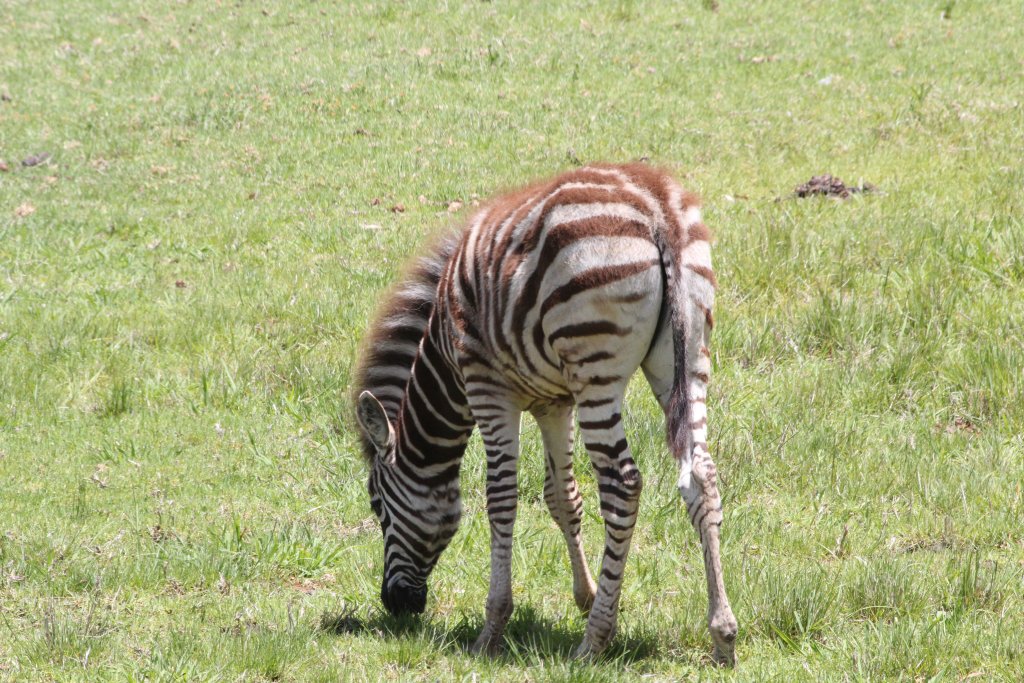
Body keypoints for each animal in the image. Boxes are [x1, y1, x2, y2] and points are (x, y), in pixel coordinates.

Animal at [352, 162, 738, 664]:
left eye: (377, 505)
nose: (396, 605)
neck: (443, 353)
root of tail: (656, 205)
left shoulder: (489, 389)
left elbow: (501, 498)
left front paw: (493, 627)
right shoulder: (554, 401)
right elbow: (562, 497)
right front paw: (587, 594)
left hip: (597, 368)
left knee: (623, 485)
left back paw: (595, 641)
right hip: (686, 357)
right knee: (701, 476)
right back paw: (722, 633)